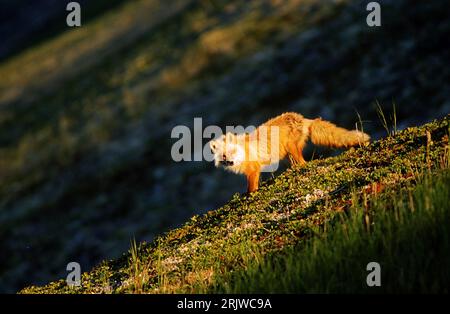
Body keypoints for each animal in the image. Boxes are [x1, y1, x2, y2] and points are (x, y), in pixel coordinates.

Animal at [210, 111, 370, 193]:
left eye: (232, 151)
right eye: (223, 156)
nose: (230, 162)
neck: (244, 152)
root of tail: (303, 118)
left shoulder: (254, 169)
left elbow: (251, 188)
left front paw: (250, 196)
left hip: (292, 148)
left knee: (303, 163)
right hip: (287, 154)